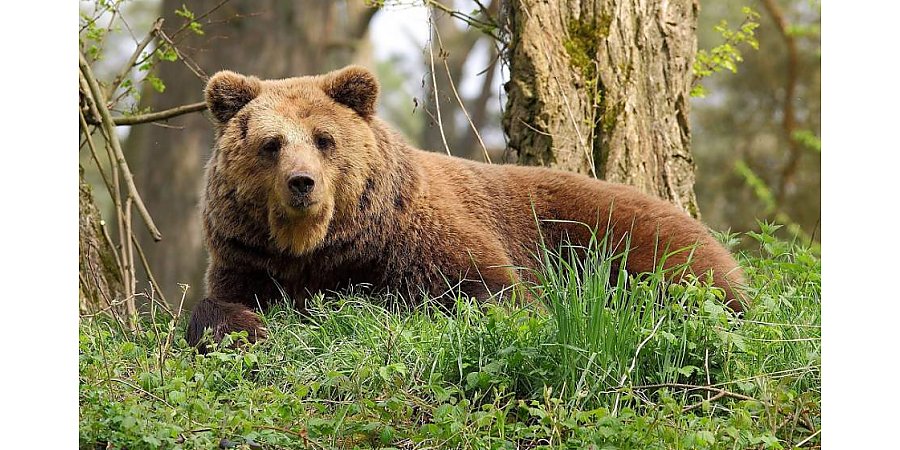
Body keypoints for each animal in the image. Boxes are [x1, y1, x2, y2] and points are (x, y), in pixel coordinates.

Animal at [185, 65, 744, 348]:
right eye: (271, 143)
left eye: (325, 139)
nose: (302, 183)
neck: (320, 248)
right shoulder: (249, 256)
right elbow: (218, 302)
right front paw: (245, 326)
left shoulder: (416, 239)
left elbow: (489, 293)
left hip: (622, 239)